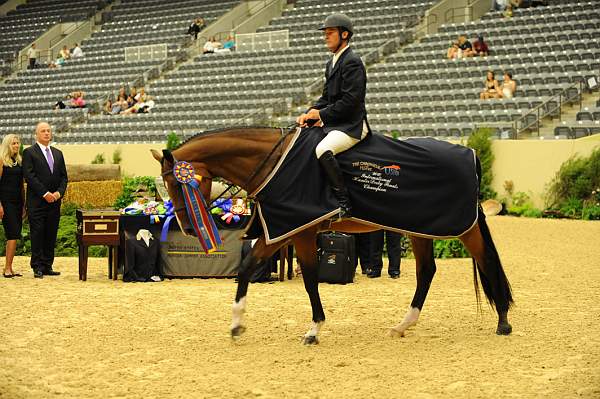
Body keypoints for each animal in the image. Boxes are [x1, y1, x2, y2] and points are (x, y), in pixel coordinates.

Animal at [150, 127, 510, 344]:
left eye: (177, 183)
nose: (186, 226)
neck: (275, 162)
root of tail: (468, 154)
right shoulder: (283, 231)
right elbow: (248, 267)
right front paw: (237, 324)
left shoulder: (301, 230)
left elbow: (310, 279)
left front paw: (314, 329)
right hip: (418, 227)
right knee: (427, 271)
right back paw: (403, 325)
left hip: (460, 227)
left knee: (485, 260)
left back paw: (503, 321)